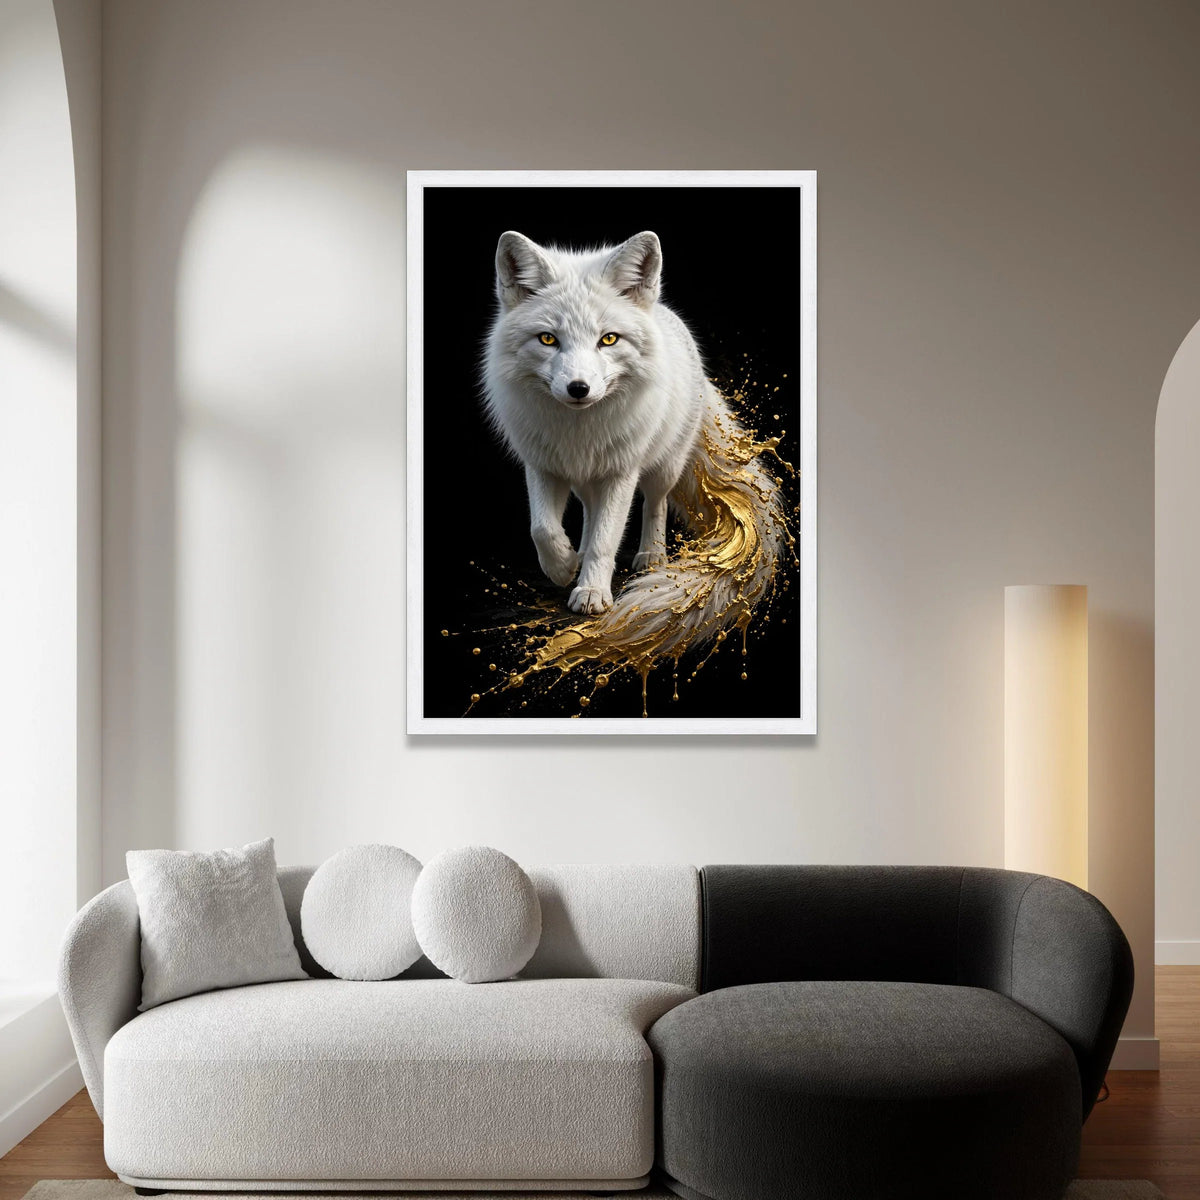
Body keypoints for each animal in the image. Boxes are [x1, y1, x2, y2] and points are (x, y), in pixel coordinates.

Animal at [482, 229, 789, 668]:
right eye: (548, 339)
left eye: (608, 339)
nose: (579, 389)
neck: (579, 433)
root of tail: (665, 313)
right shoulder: (542, 465)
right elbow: (542, 528)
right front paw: (563, 567)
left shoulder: (620, 472)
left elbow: (607, 538)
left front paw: (592, 593)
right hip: (587, 483)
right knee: (590, 515)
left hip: (663, 467)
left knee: (653, 505)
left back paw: (652, 556)